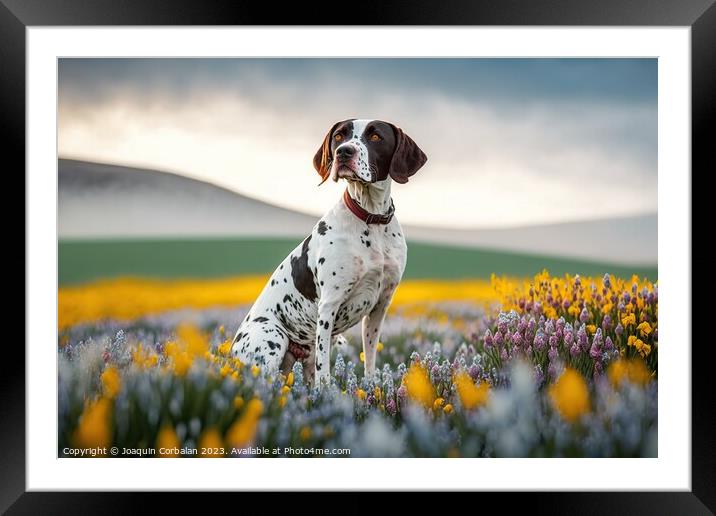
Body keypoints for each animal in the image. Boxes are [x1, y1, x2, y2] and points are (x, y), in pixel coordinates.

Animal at [232, 120, 428, 388]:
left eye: (376, 136)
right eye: (339, 136)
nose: (343, 152)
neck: (371, 219)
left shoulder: (379, 306)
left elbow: (370, 360)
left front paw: (372, 390)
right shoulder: (329, 306)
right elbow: (324, 372)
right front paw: (326, 392)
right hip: (273, 337)